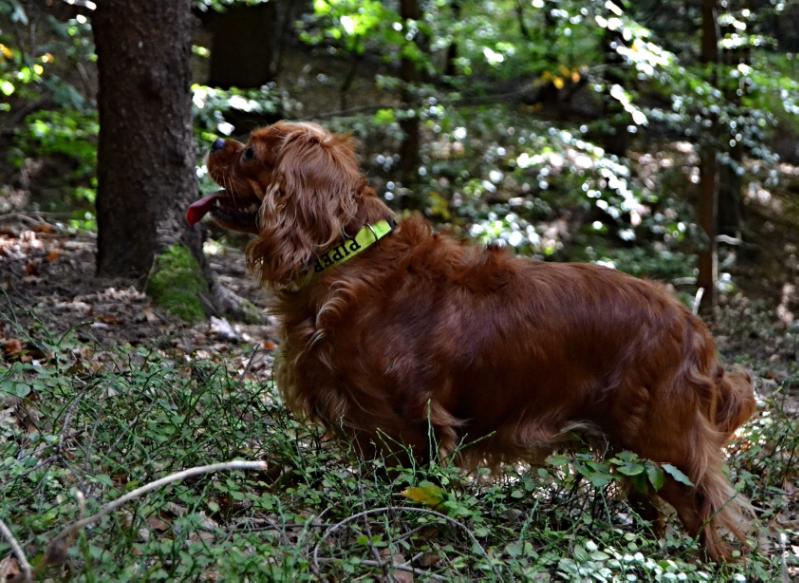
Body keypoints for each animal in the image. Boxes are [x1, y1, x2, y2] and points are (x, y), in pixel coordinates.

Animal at [188, 120, 756, 560]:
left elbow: (412, 497)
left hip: (664, 449)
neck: (348, 256)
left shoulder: (411, 427)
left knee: (710, 520)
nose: (215, 140)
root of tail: (695, 329)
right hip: (632, 458)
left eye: (250, 152)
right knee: (655, 515)